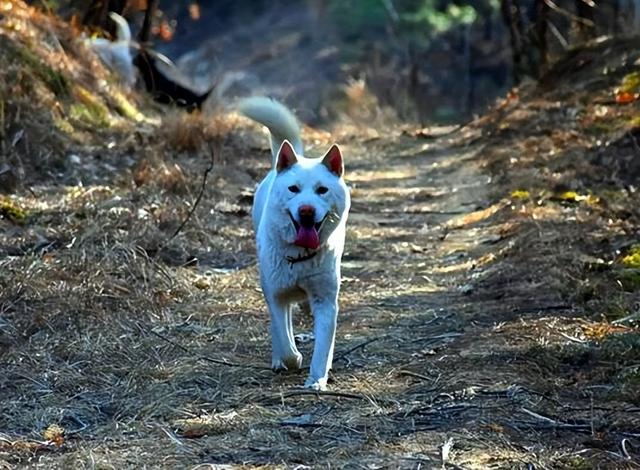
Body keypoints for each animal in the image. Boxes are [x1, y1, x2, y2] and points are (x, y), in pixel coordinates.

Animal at [239, 95, 350, 390]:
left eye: (322, 190)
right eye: (294, 189)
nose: (307, 211)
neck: (300, 256)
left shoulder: (325, 300)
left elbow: (323, 345)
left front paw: (317, 379)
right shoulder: (276, 296)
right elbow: (284, 337)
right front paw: (290, 358)